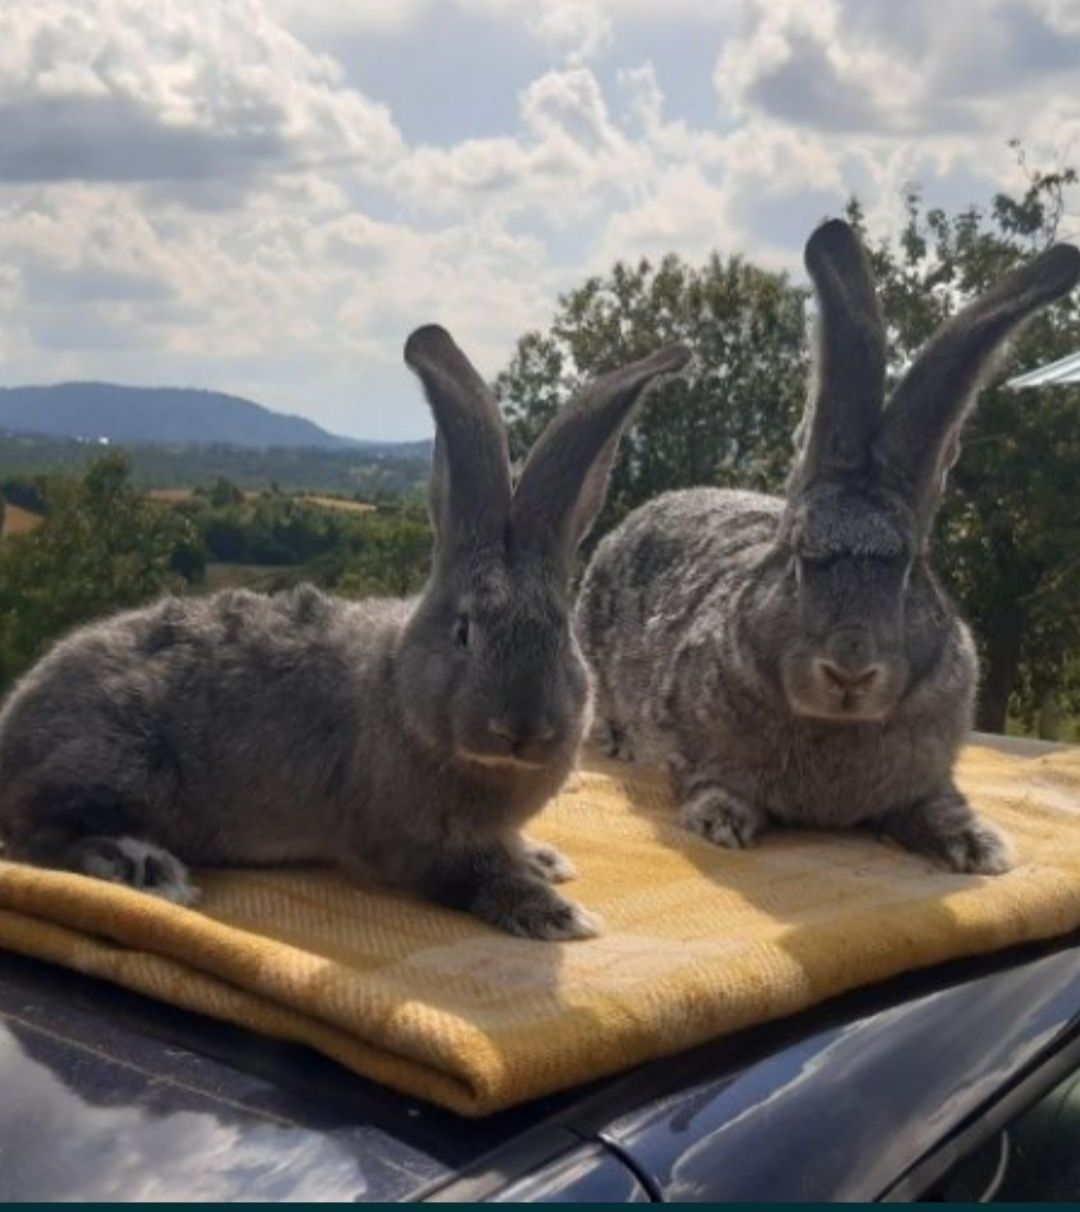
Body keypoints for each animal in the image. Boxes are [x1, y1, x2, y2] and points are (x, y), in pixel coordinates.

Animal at [0, 329, 693, 935]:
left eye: (562, 633)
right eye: (464, 632)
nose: (523, 730)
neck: (400, 690)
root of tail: (14, 725)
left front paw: (543, 860)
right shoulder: (412, 842)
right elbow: (469, 877)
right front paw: (558, 914)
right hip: (117, 765)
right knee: (40, 833)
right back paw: (143, 866)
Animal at [581, 220, 1080, 872]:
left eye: (910, 570)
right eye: (797, 560)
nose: (850, 669)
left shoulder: (924, 779)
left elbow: (936, 807)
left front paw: (979, 848)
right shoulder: (692, 746)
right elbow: (711, 781)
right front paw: (722, 823)